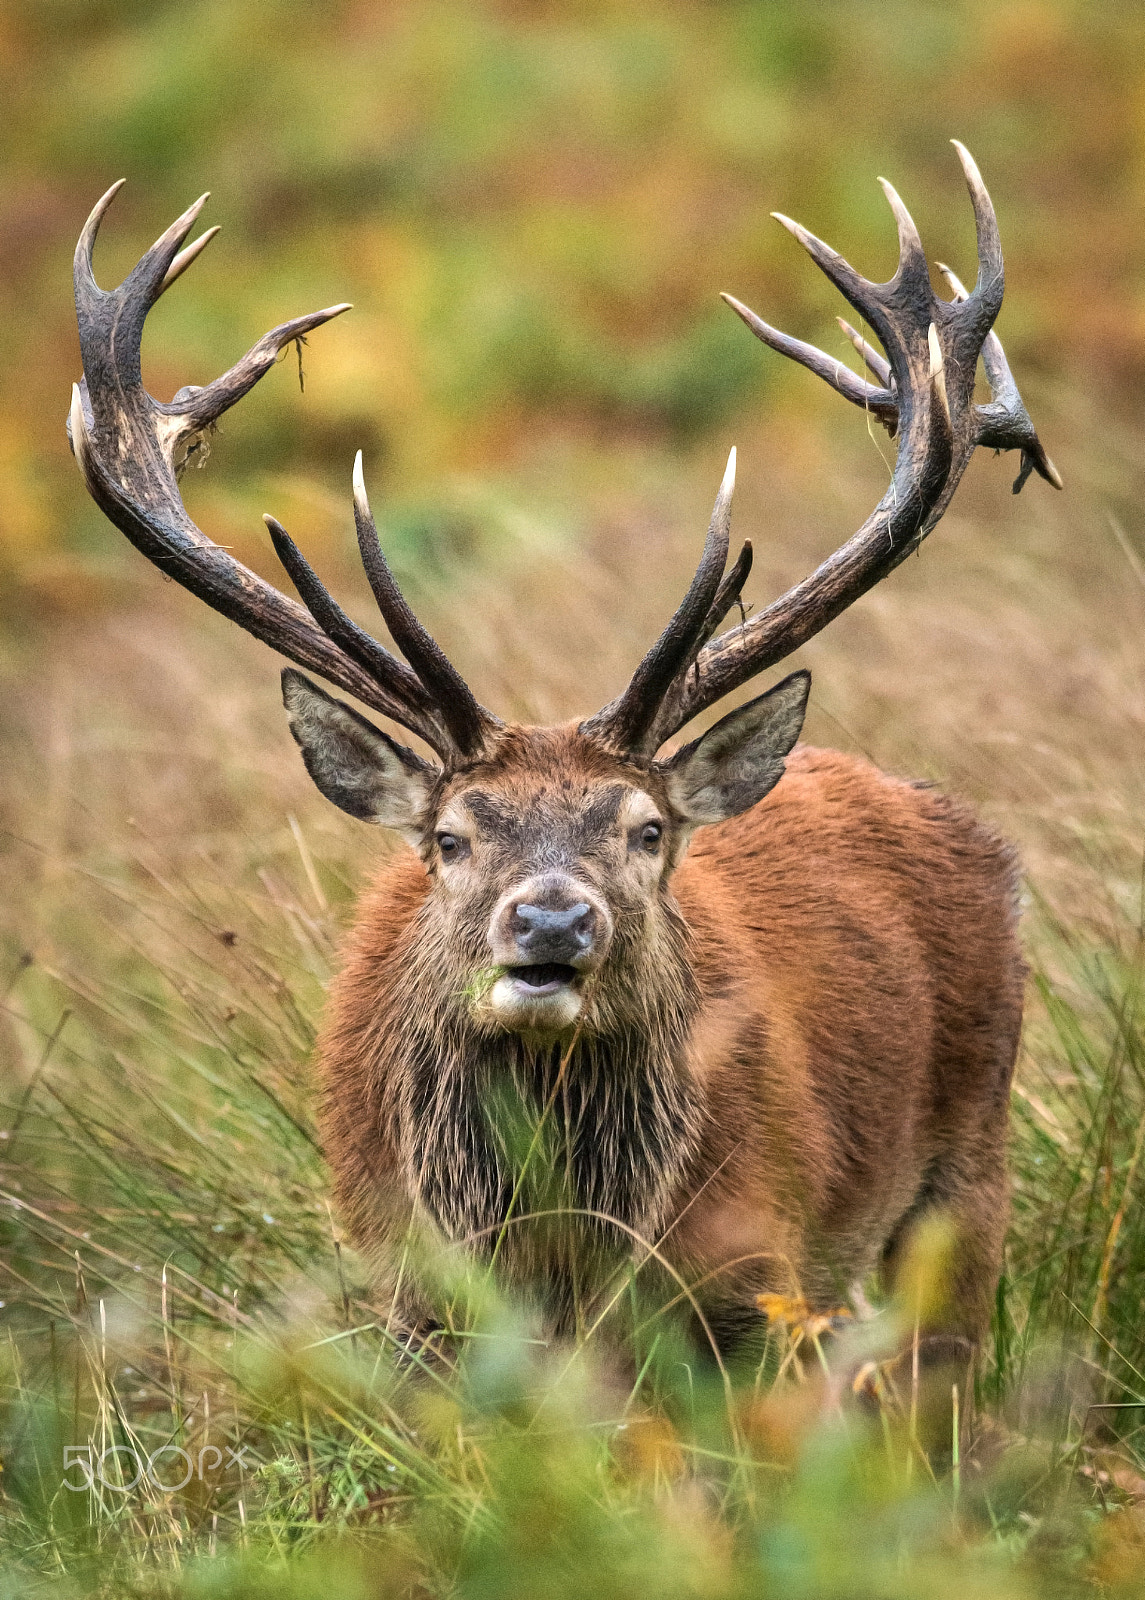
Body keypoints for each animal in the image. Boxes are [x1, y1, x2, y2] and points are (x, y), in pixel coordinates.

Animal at [69, 145, 1059, 1411]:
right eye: (449, 836)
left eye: (646, 831)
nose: (549, 922)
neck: (554, 1265)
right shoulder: (401, 1290)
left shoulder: (760, 1282)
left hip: (970, 1158)